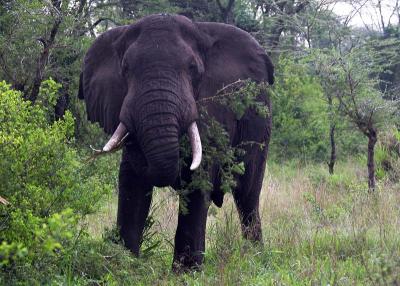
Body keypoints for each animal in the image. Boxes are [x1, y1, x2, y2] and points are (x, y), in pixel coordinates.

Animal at [79, 14, 276, 272]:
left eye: (193, 69)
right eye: (125, 69)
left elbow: (198, 180)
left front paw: (186, 272)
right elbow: (132, 183)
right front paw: (124, 264)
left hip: (259, 123)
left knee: (247, 192)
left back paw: (254, 257)